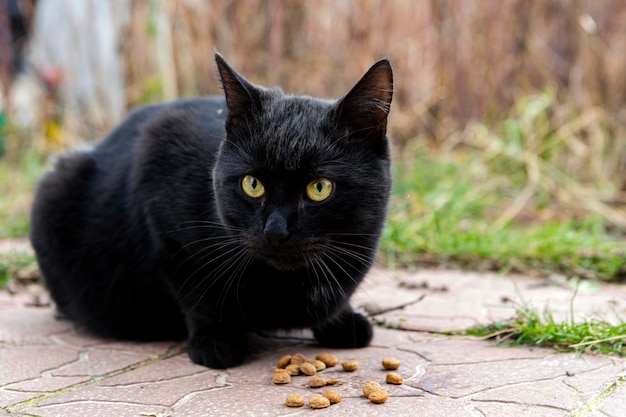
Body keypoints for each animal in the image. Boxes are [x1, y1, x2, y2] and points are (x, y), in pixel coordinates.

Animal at [30, 52, 390, 368]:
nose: (275, 230)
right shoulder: (162, 208)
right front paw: (216, 341)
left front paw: (341, 321)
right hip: (55, 189)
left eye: (319, 188)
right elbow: (198, 290)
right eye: (252, 184)